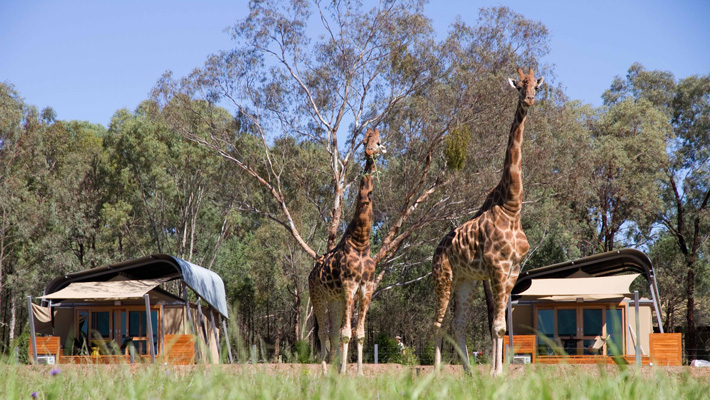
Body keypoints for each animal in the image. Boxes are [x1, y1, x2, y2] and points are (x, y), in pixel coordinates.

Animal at [308, 127, 386, 376]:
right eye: (364, 141)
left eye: (378, 142)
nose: (370, 151)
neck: (361, 242)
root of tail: (311, 273)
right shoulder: (350, 286)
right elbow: (345, 333)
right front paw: (343, 373)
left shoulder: (366, 288)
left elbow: (358, 334)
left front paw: (357, 373)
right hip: (318, 296)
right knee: (323, 332)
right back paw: (325, 371)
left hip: (335, 300)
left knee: (331, 333)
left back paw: (333, 369)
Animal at [434, 67, 544, 376]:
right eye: (519, 85)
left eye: (536, 86)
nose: (529, 100)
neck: (512, 207)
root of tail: (436, 250)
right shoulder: (497, 267)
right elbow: (495, 325)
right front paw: (495, 373)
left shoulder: (513, 270)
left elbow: (502, 327)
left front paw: (498, 372)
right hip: (443, 277)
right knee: (437, 323)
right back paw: (436, 372)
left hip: (465, 282)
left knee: (457, 324)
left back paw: (469, 372)